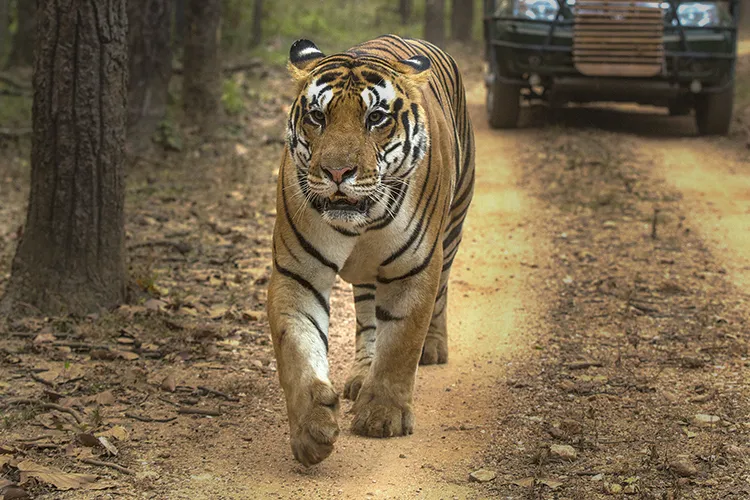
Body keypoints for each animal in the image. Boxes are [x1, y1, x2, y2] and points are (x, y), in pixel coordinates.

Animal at [268, 33, 472, 466]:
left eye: (376, 118)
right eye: (317, 117)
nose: (337, 172)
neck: (362, 221)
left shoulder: (414, 269)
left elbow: (401, 344)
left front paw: (383, 416)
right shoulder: (297, 273)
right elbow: (297, 348)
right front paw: (311, 429)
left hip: (452, 230)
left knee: (442, 293)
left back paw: (433, 348)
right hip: (366, 273)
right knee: (367, 319)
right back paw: (361, 375)